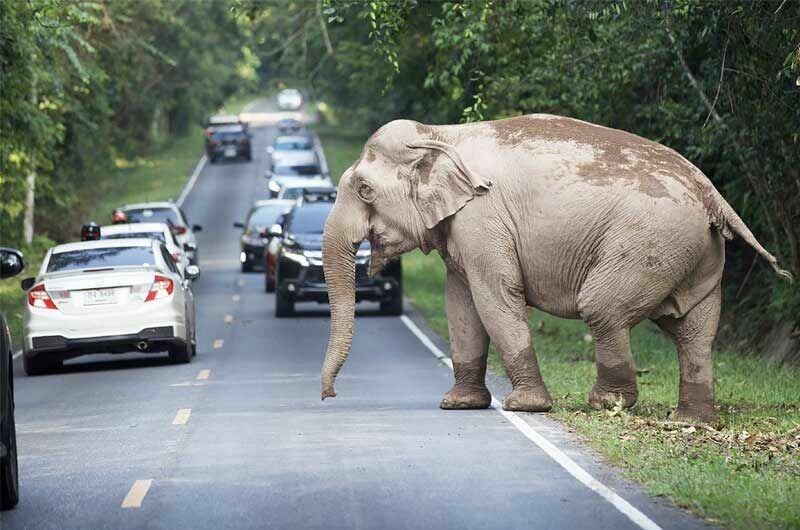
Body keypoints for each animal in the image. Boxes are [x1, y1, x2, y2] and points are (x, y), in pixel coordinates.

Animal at [318, 115, 788, 420]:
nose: (330, 396)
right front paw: (459, 405)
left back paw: (607, 403)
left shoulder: (482, 220)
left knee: (603, 309)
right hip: (695, 253)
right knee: (693, 331)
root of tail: (712, 193)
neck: (440, 134)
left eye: (364, 189)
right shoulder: (463, 230)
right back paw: (691, 421)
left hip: (648, 241)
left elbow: (494, 298)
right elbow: (461, 306)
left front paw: (525, 406)